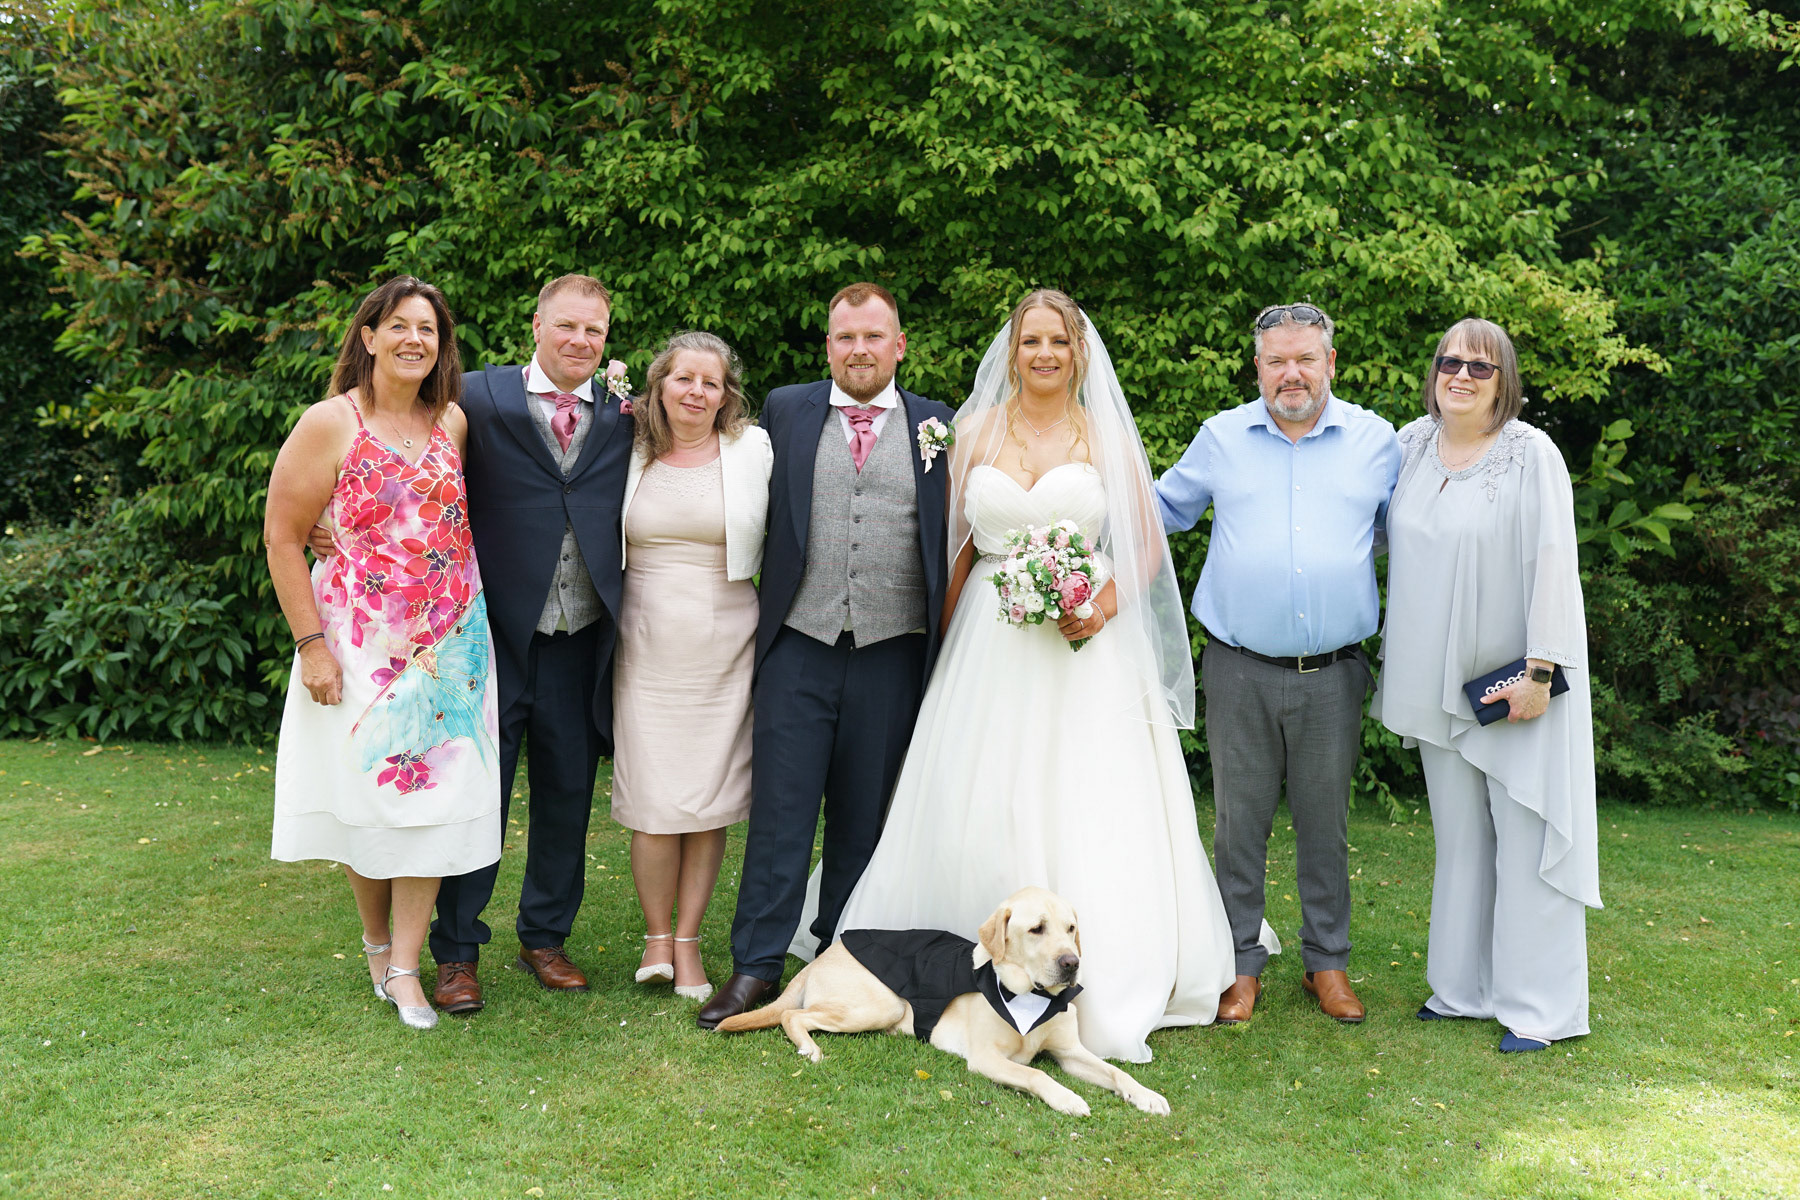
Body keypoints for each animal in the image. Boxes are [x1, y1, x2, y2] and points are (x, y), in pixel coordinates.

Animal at [714, 886, 1169, 1117]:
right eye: (1037, 929)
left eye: (1071, 928)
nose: (1071, 964)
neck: (1033, 996)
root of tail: (825, 954)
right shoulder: (985, 1059)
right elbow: (1038, 1074)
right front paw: (1068, 1098)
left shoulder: (1071, 1052)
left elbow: (1117, 1072)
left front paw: (1145, 1095)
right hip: (883, 1004)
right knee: (792, 1014)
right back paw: (809, 1047)